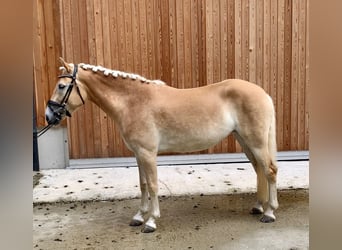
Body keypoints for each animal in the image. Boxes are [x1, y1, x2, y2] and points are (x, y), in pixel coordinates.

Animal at [45, 57, 280, 233]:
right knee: (259, 170)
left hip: (256, 141)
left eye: (62, 86)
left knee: (269, 171)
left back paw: (270, 212)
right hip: (244, 141)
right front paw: (139, 216)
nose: (49, 116)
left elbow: (153, 185)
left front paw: (151, 221)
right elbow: (143, 185)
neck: (133, 102)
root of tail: (264, 93)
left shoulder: (148, 153)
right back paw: (259, 206)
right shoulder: (138, 154)